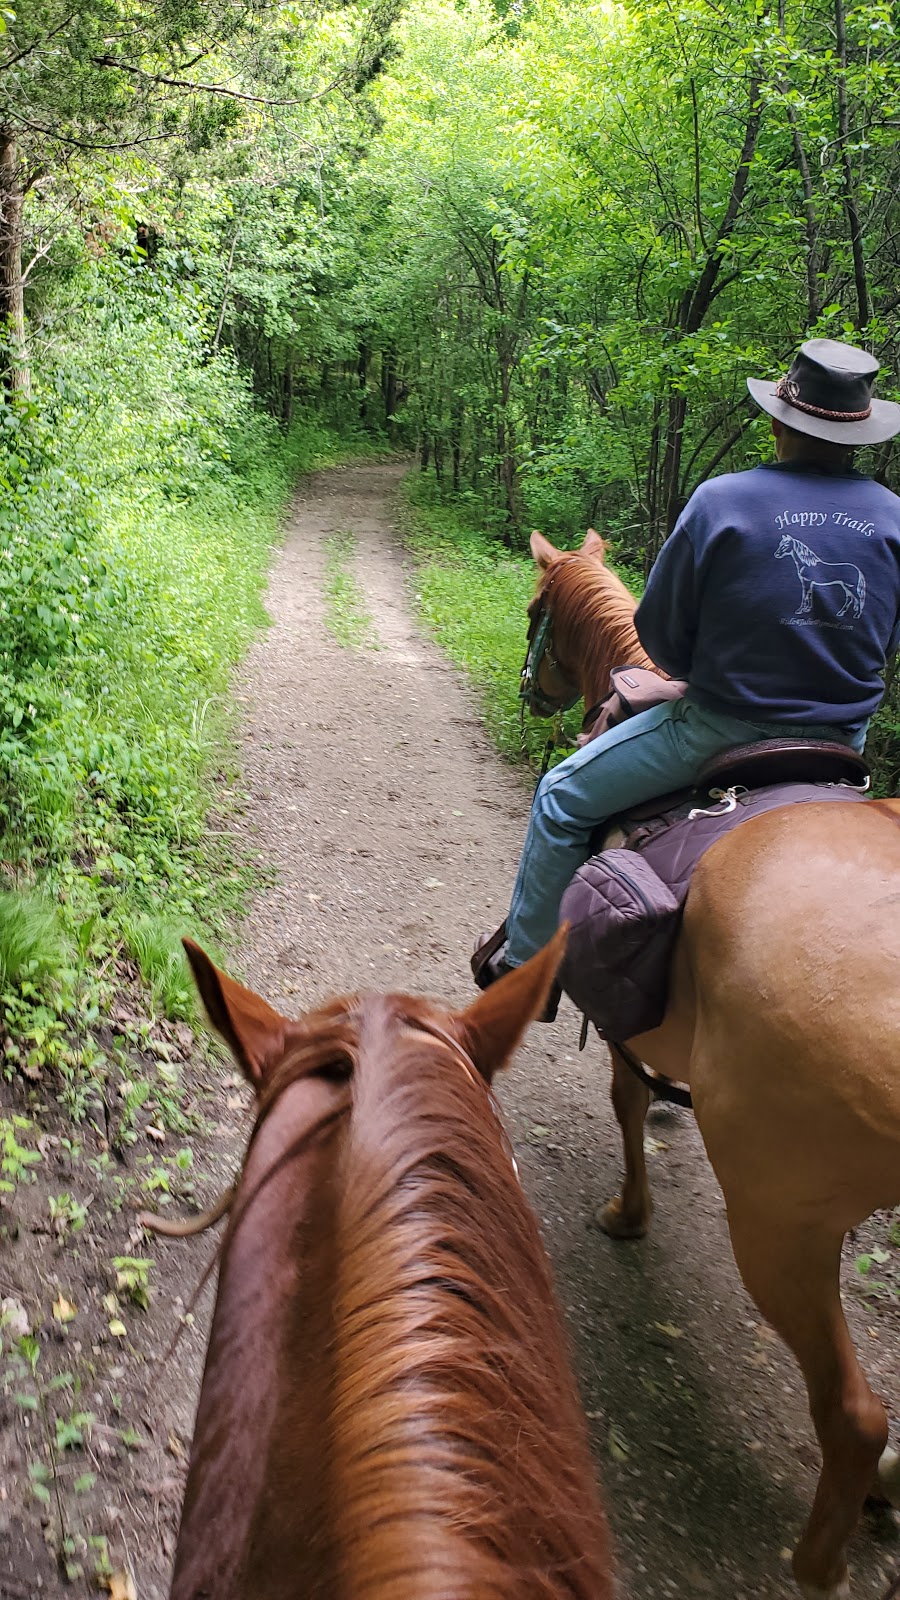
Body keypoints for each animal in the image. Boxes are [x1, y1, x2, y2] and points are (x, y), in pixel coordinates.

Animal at [525, 528, 896, 1600]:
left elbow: (621, 1095)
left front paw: (628, 1213)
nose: (532, 692)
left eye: (532, 613)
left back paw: (816, 1561)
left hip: (781, 1221)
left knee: (854, 1413)